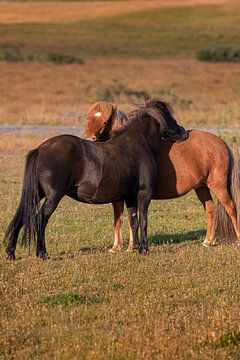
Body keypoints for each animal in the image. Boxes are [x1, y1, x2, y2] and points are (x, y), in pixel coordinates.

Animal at [4, 97, 188, 258]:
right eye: (170, 116)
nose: (184, 133)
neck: (139, 144)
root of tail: (40, 149)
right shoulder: (144, 193)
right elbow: (143, 220)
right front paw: (144, 249)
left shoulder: (130, 196)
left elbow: (133, 220)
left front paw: (134, 248)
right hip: (53, 196)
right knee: (40, 218)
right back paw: (42, 254)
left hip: (37, 193)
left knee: (22, 216)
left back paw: (11, 253)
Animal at [83, 100, 239, 252]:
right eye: (88, 118)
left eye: (105, 121)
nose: (88, 138)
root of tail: (221, 142)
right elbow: (119, 219)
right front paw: (116, 247)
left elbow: (130, 219)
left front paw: (130, 247)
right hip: (201, 186)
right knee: (210, 208)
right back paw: (208, 241)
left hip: (218, 184)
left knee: (231, 208)